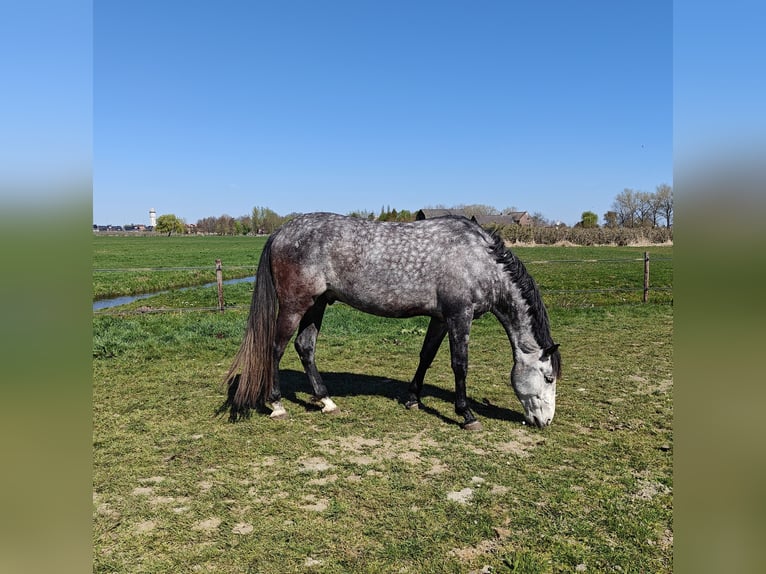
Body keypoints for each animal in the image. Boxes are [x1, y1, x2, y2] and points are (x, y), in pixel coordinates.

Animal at [223, 212, 560, 430]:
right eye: (548, 378)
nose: (545, 422)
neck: (480, 260)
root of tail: (281, 232)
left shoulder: (440, 319)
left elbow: (426, 356)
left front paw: (412, 399)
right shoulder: (459, 316)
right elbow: (460, 365)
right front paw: (467, 415)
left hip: (317, 304)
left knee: (305, 347)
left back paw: (326, 400)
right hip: (295, 306)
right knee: (275, 348)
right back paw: (277, 404)